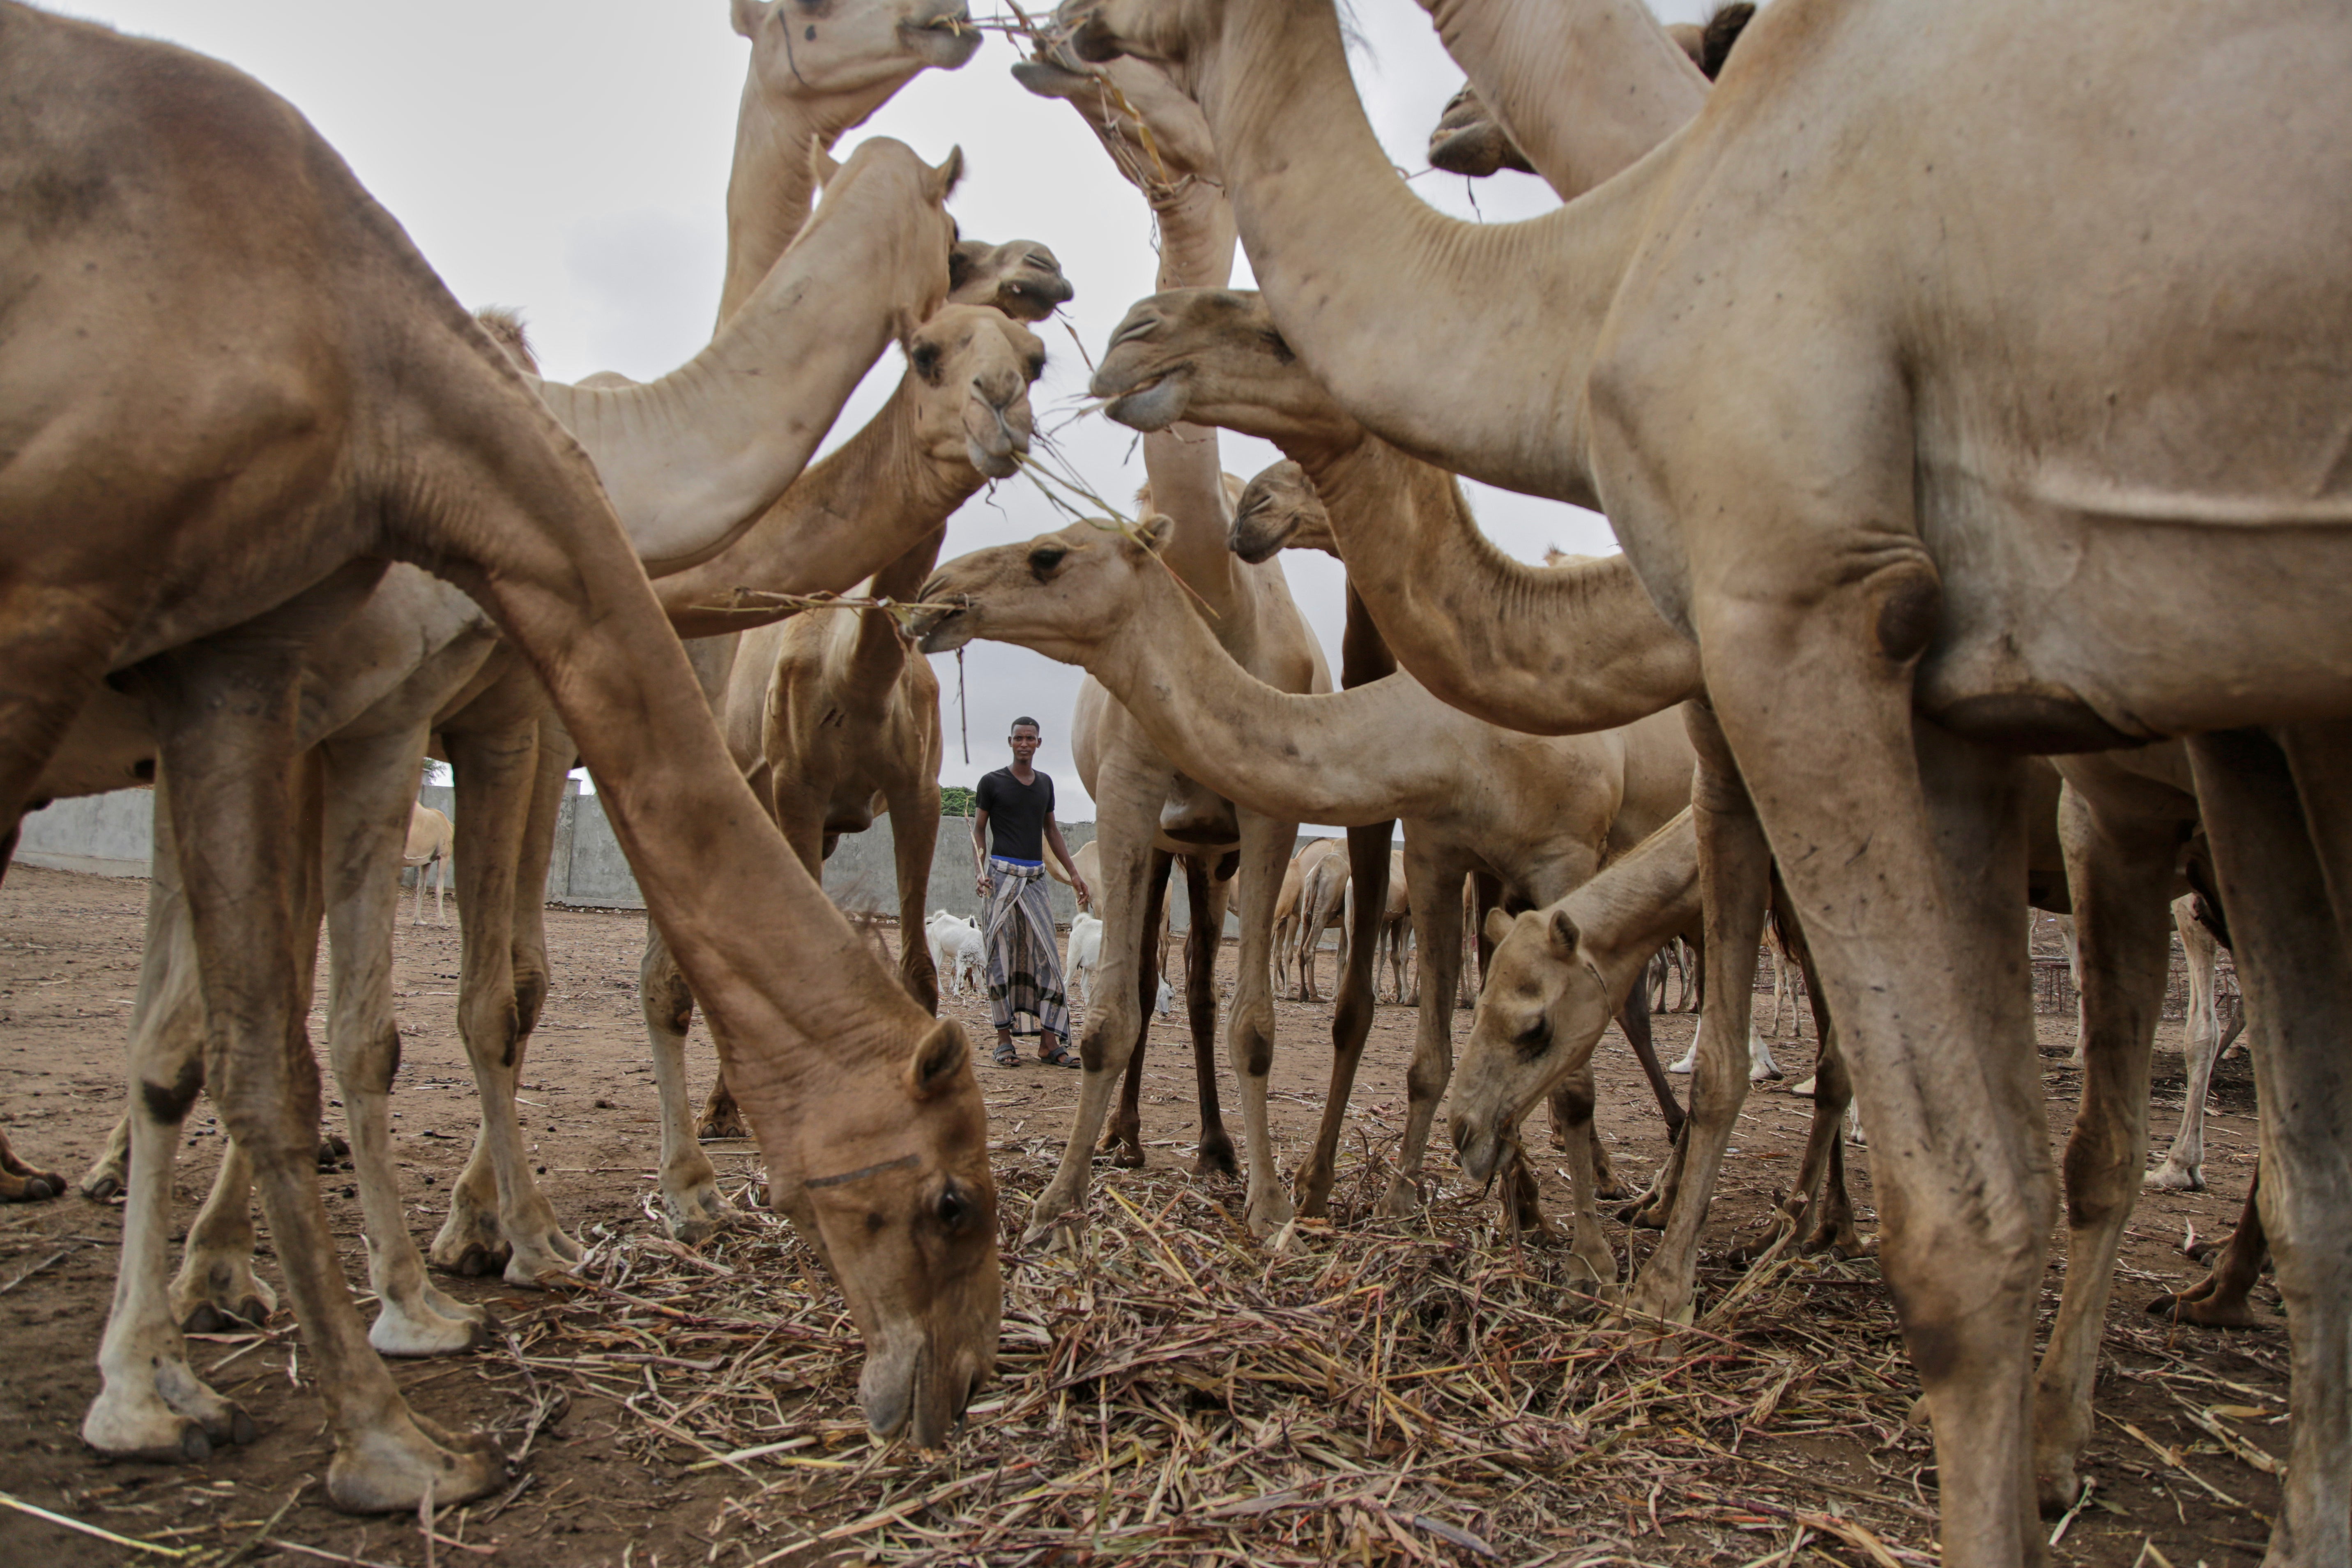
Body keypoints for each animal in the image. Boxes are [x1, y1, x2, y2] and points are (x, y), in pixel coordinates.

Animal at [403, 802, 453, 928]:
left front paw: (418, 920)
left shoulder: (427, 861)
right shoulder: (444, 855)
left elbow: (421, 888)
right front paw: (444, 923)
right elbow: (440, 890)